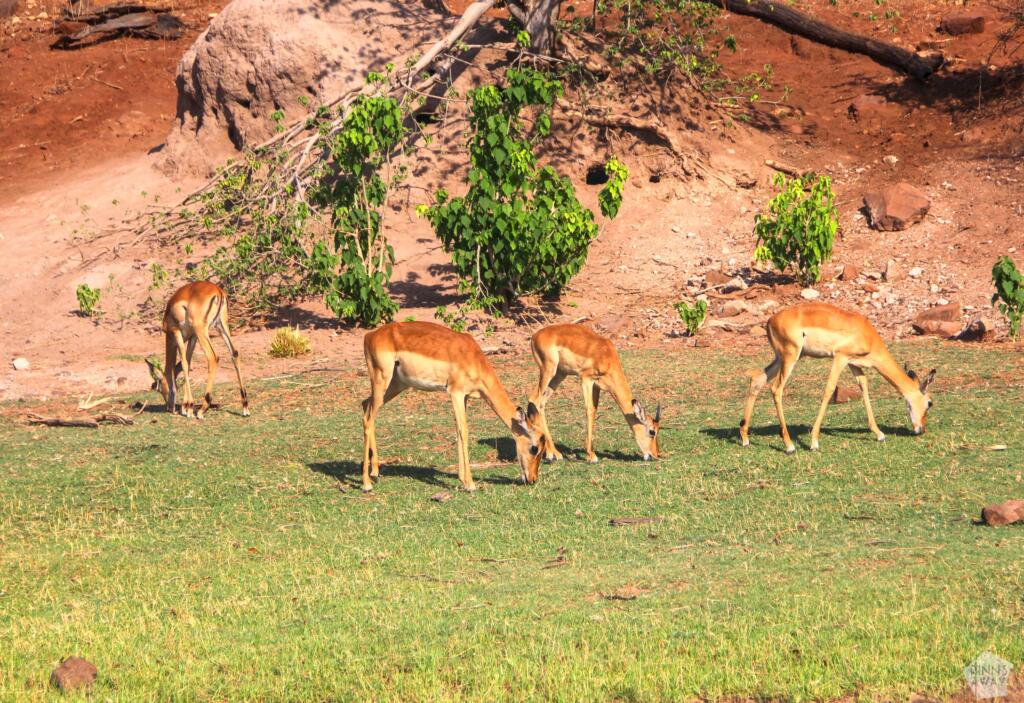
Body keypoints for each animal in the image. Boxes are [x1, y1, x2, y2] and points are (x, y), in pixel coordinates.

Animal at [145, 281, 249, 419]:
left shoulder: (176, 333)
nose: (169, 408)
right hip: (221, 326)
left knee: (213, 357)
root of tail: (218, 291)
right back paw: (245, 407)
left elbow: (184, 363)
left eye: (158, 387)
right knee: (235, 353)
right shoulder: (192, 337)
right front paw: (185, 407)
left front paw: (188, 407)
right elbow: (188, 363)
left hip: (201, 329)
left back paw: (202, 410)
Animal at [361, 321, 546, 493]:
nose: (532, 479)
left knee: (365, 405)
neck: (473, 357)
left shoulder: (465, 398)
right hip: (382, 380)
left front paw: (462, 479)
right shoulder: (456, 393)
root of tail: (369, 335)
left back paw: (375, 473)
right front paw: (470, 484)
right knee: (368, 418)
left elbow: (458, 431)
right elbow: (464, 432)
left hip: (395, 385)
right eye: (534, 448)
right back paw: (366, 484)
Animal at [529, 324, 661, 463]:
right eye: (652, 431)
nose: (655, 455)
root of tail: (535, 336)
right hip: (548, 371)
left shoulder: (597, 387)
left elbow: (594, 411)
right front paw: (592, 456)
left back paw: (553, 454)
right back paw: (551, 454)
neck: (606, 355)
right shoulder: (586, 379)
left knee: (541, 403)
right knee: (535, 400)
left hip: (559, 374)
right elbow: (589, 410)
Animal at [740, 303, 935, 453]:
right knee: (776, 389)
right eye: (929, 403)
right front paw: (814, 443)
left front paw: (879, 434)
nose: (921, 429)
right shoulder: (840, 357)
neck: (866, 334)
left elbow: (864, 387)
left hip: (782, 358)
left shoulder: (854, 363)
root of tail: (770, 321)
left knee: (757, 380)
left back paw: (745, 438)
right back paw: (789, 446)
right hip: (790, 357)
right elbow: (830, 389)